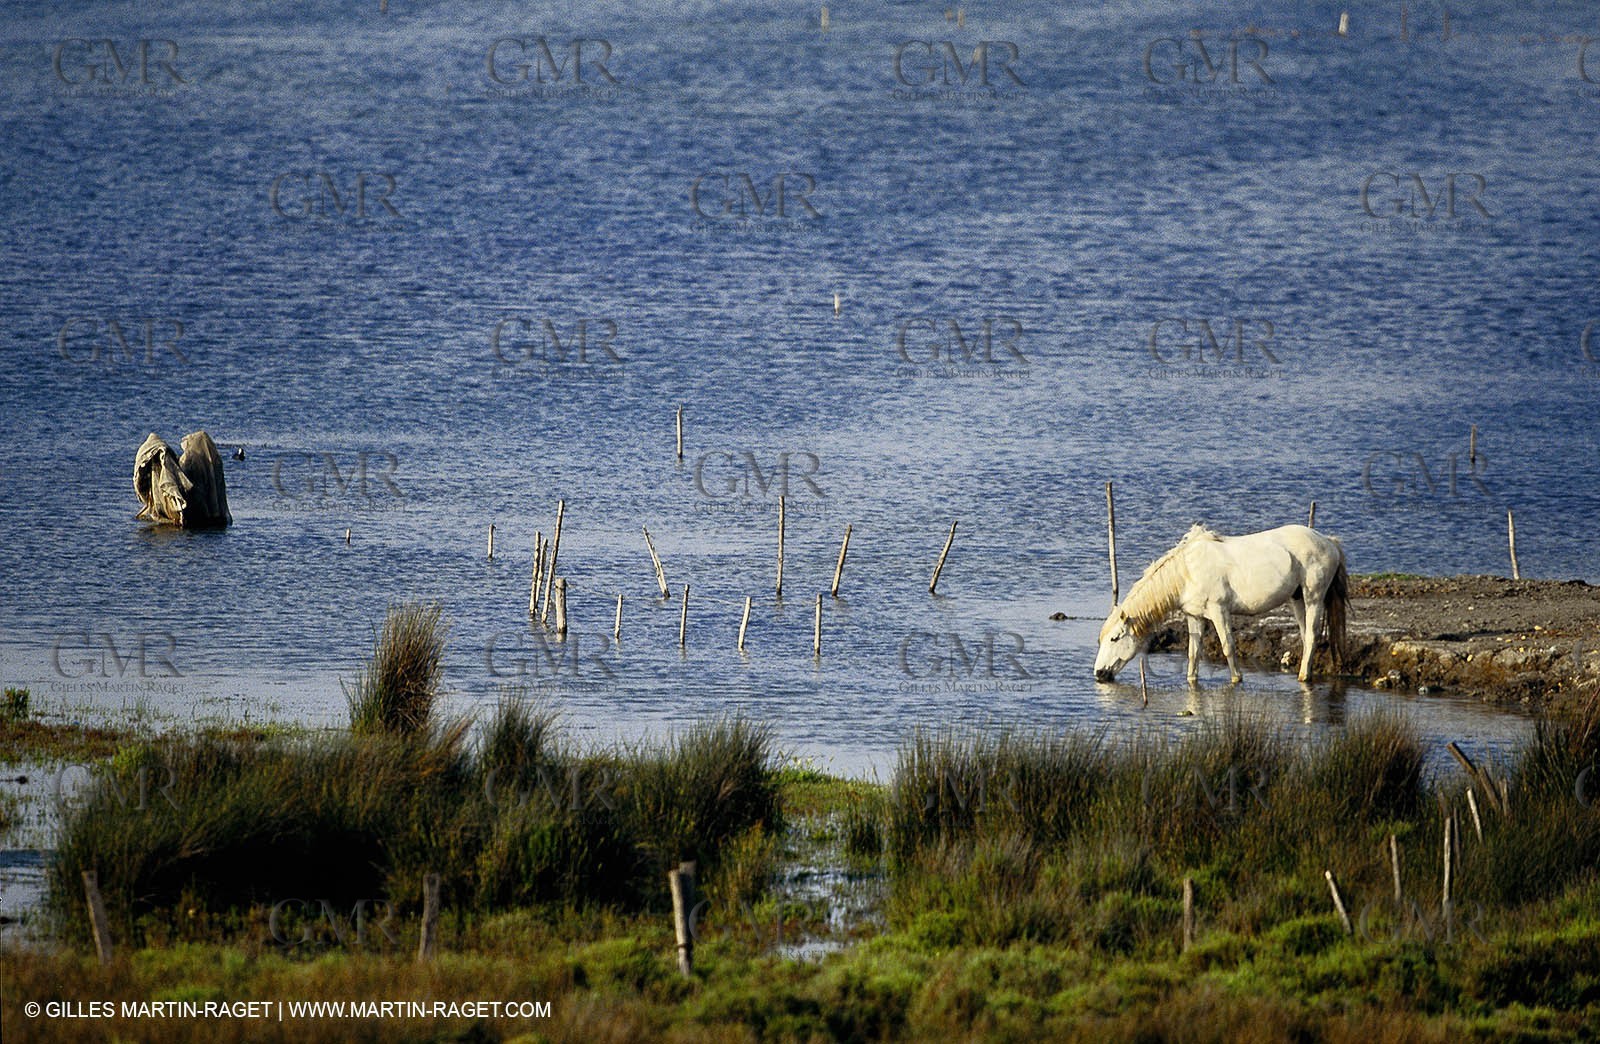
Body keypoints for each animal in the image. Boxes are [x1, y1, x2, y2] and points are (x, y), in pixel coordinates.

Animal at [1093, 523, 1347, 685]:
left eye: (1115, 638)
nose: (1098, 673)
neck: (1187, 572)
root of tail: (1329, 542)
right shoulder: (1194, 616)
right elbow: (1193, 653)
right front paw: (1191, 681)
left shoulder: (1219, 611)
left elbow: (1228, 646)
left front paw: (1237, 678)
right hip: (1297, 598)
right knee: (1305, 636)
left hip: (1313, 596)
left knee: (1312, 635)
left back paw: (1304, 677)